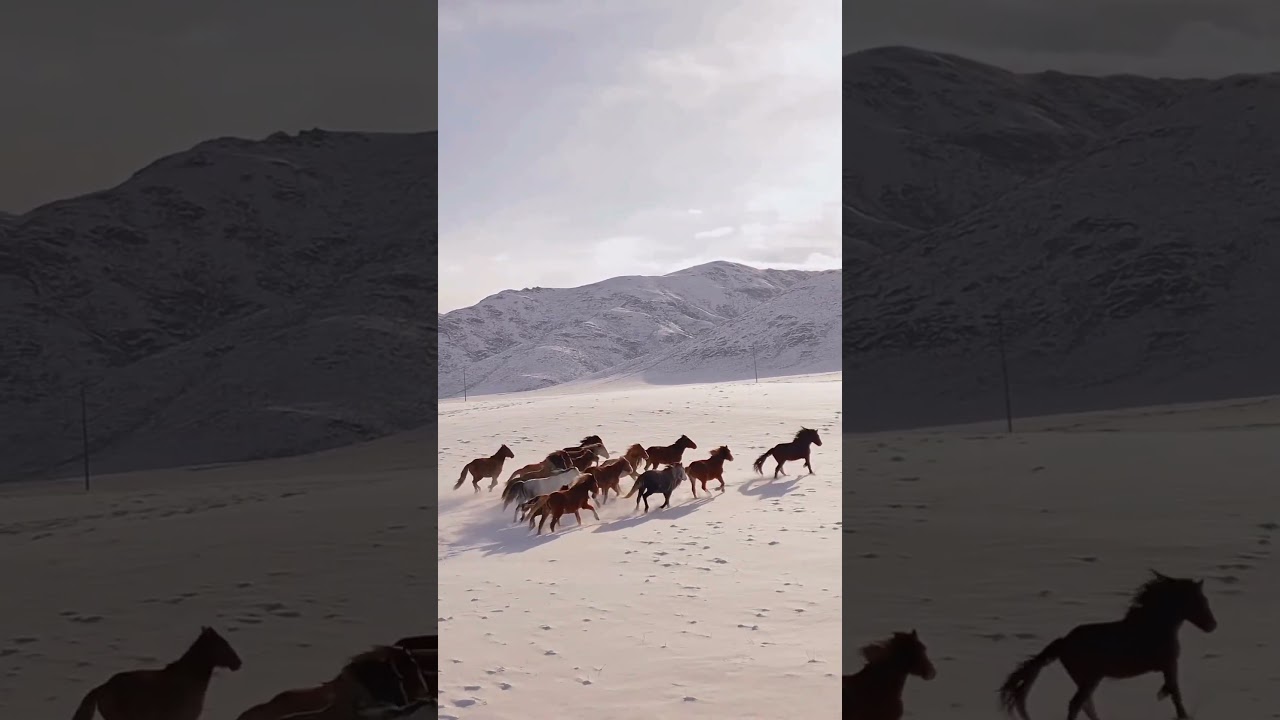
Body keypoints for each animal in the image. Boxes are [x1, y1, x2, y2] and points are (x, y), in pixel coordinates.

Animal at [998, 570, 1217, 720]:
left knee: (1086, 705)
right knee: (1076, 704)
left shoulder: (1167, 667)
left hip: (1086, 680)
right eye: (1201, 600)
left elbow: (1171, 692)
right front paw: (1183, 714)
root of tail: (1064, 642)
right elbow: (1176, 695)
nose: (1213, 626)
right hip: (1090, 679)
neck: (1154, 626)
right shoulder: (1169, 665)